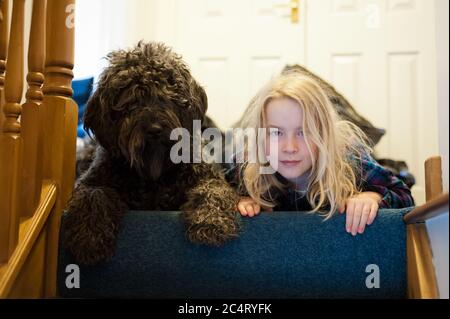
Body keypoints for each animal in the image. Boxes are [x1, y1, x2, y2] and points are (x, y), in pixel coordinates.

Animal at [63, 42, 241, 268]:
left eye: (167, 96)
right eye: (131, 99)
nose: (154, 129)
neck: (155, 171)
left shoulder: (208, 176)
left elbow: (213, 190)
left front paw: (210, 220)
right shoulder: (91, 181)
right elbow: (93, 195)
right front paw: (90, 237)